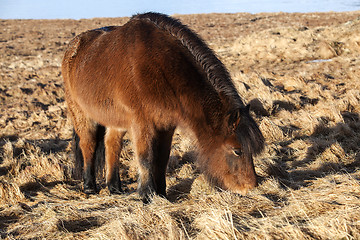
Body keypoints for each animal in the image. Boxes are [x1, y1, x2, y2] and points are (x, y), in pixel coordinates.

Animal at [62, 11, 264, 202]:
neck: (161, 66)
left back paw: (115, 187)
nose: (250, 187)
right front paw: (147, 195)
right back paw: (89, 186)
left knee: (112, 144)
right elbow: (146, 158)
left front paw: (161, 193)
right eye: (237, 150)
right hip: (80, 114)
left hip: (115, 119)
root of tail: (74, 46)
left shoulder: (166, 126)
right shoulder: (142, 124)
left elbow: (162, 158)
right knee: (88, 144)